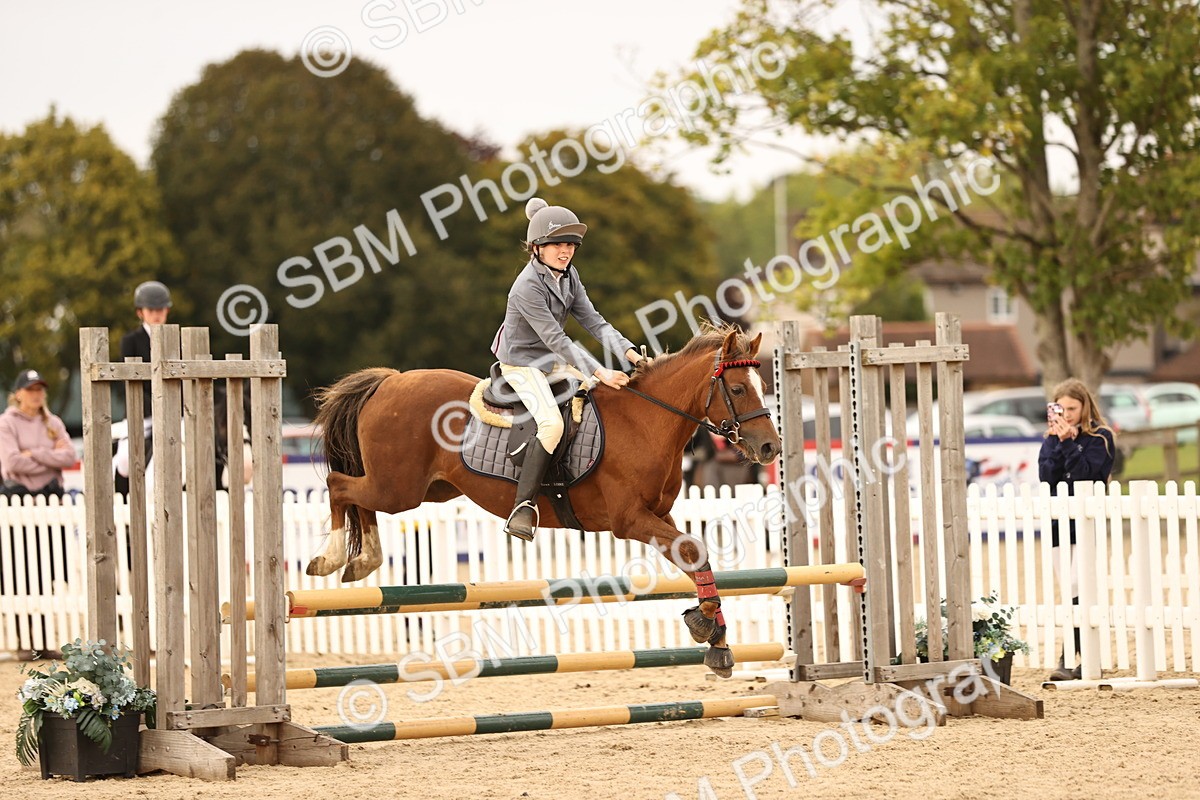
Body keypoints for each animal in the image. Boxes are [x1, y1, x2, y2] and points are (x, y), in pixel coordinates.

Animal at [305, 326, 780, 676]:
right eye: (738, 389)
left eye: (764, 384)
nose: (771, 448)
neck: (645, 420)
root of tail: (390, 380)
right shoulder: (630, 520)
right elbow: (695, 551)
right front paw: (706, 625)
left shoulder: (661, 514)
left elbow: (697, 557)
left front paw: (715, 637)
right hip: (396, 488)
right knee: (338, 484)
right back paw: (335, 557)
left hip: (426, 489)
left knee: (354, 495)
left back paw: (362, 558)